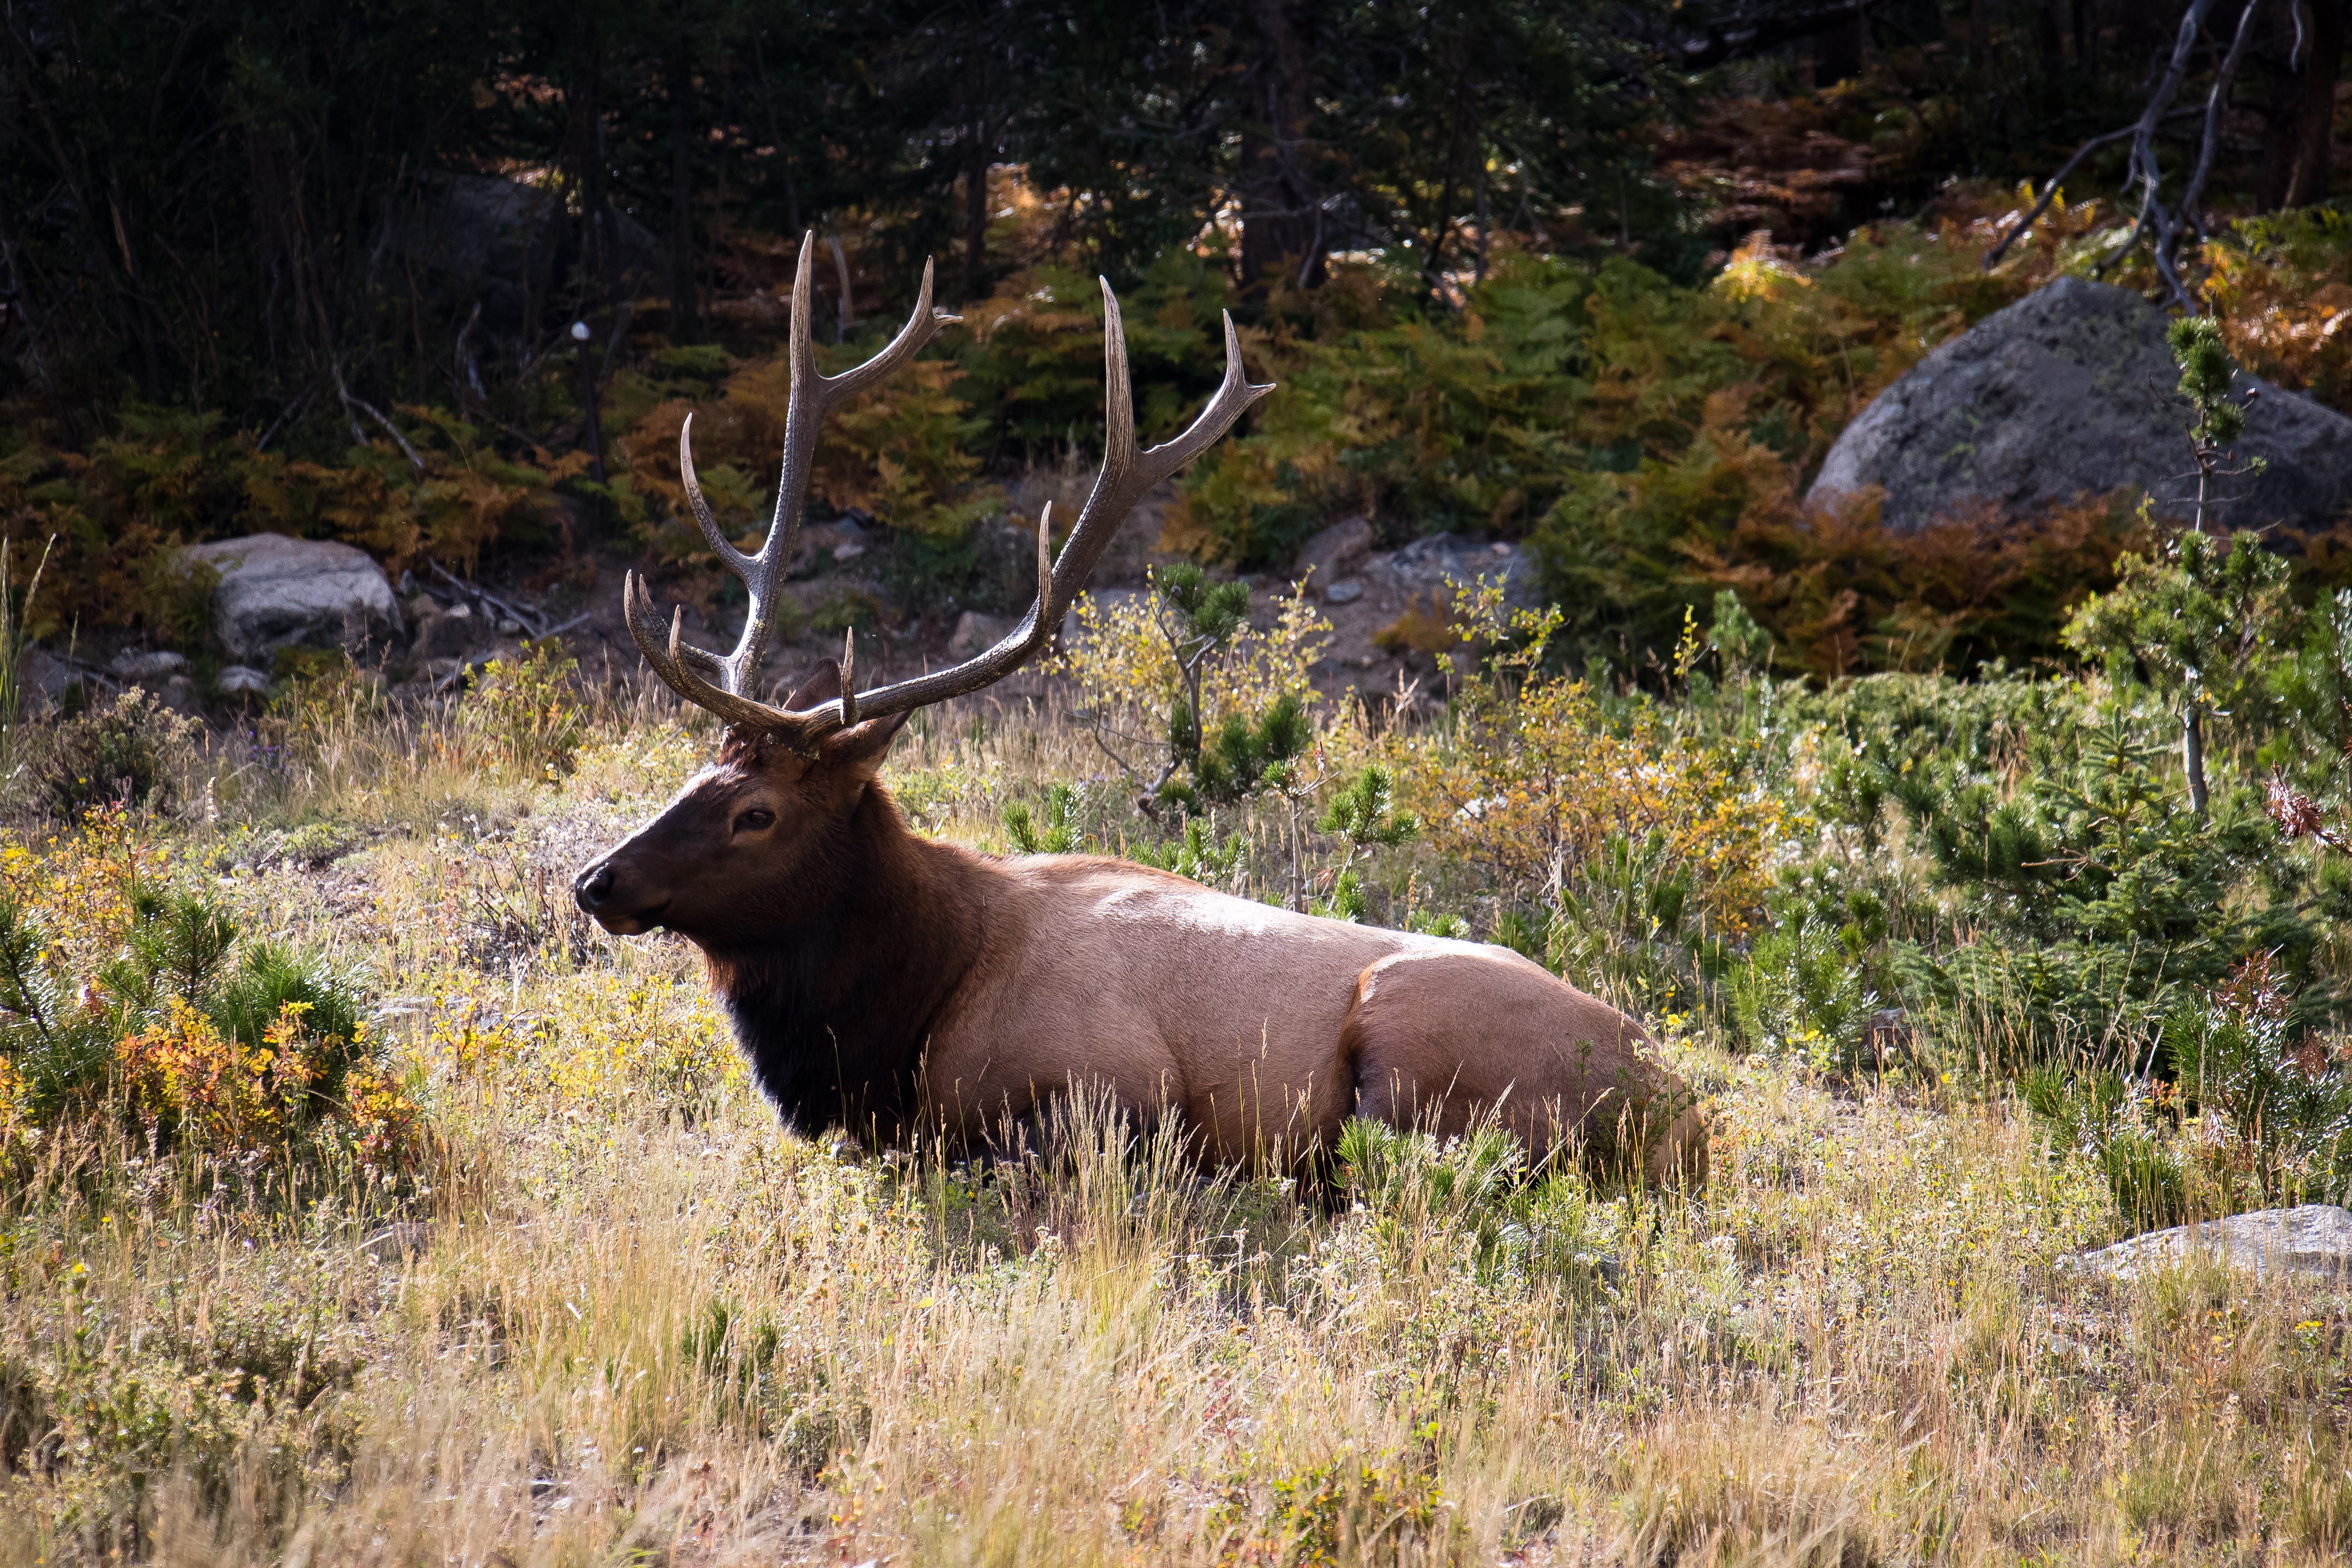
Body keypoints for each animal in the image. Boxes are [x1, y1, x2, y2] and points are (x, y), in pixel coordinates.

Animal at [571, 237, 1708, 1188]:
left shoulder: (1115, 1088)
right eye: (692, 775)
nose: (595, 880)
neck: (903, 1014)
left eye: (756, 813)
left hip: (1413, 1043)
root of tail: (1679, 1113)